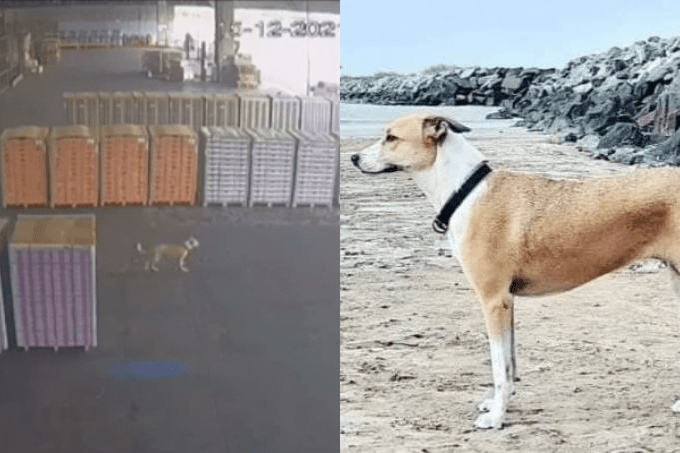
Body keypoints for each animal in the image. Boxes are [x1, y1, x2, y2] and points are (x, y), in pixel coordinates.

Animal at [354, 112, 680, 428]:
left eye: (391, 137)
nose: (354, 158)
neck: (464, 191)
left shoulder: (493, 301)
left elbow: (499, 368)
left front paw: (496, 418)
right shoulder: (507, 303)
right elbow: (509, 364)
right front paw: (498, 406)